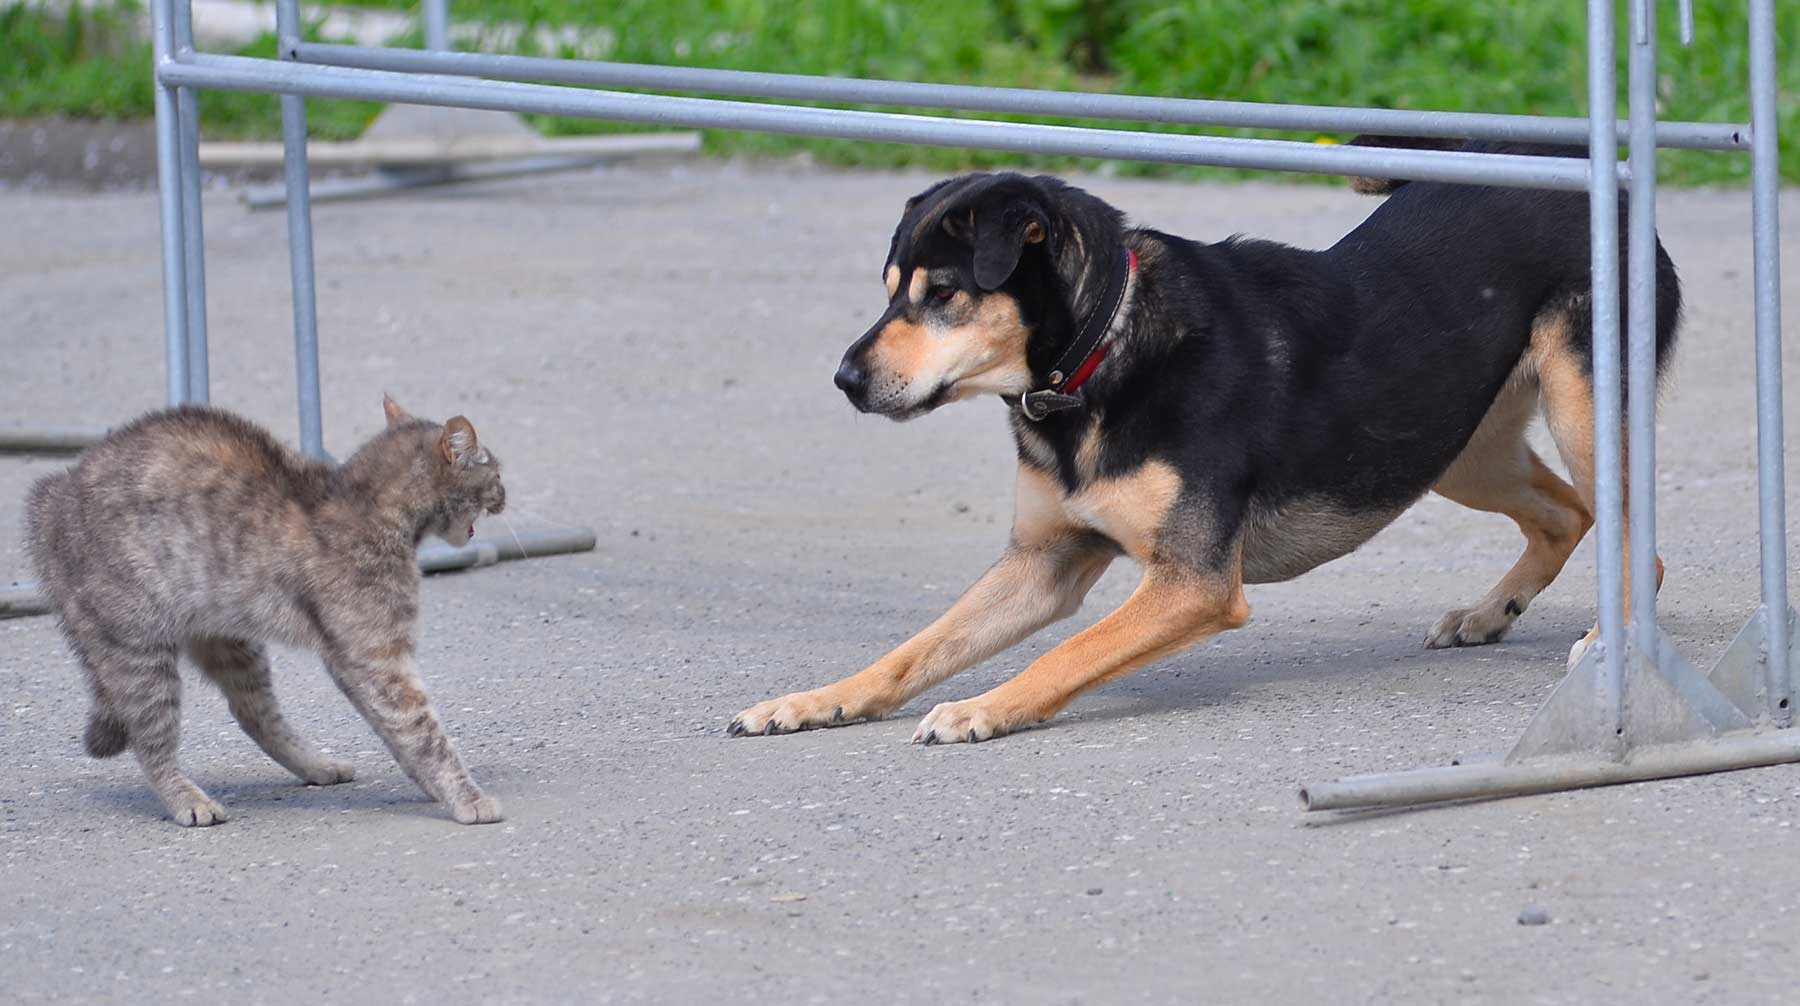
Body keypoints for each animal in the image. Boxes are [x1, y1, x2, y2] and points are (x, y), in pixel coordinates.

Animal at [24, 397, 511, 831]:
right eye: (496, 472)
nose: (506, 493)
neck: (366, 507)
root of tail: (50, 497)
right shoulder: (380, 659)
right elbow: (425, 734)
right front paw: (465, 797)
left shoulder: (354, 658)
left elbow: (398, 735)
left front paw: (431, 787)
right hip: (138, 653)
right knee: (152, 743)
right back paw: (187, 799)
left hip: (230, 640)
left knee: (254, 713)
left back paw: (314, 765)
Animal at [727, 149, 1670, 748]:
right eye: (891, 293)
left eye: (945, 294)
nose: (845, 379)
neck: (1099, 352)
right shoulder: (1044, 561)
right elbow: (914, 650)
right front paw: (812, 703)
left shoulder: (1194, 582)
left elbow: (1069, 653)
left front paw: (982, 709)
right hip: (1446, 444)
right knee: (1565, 514)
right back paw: (1487, 613)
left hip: (1579, 407)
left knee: (1633, 538)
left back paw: (1608, 636)